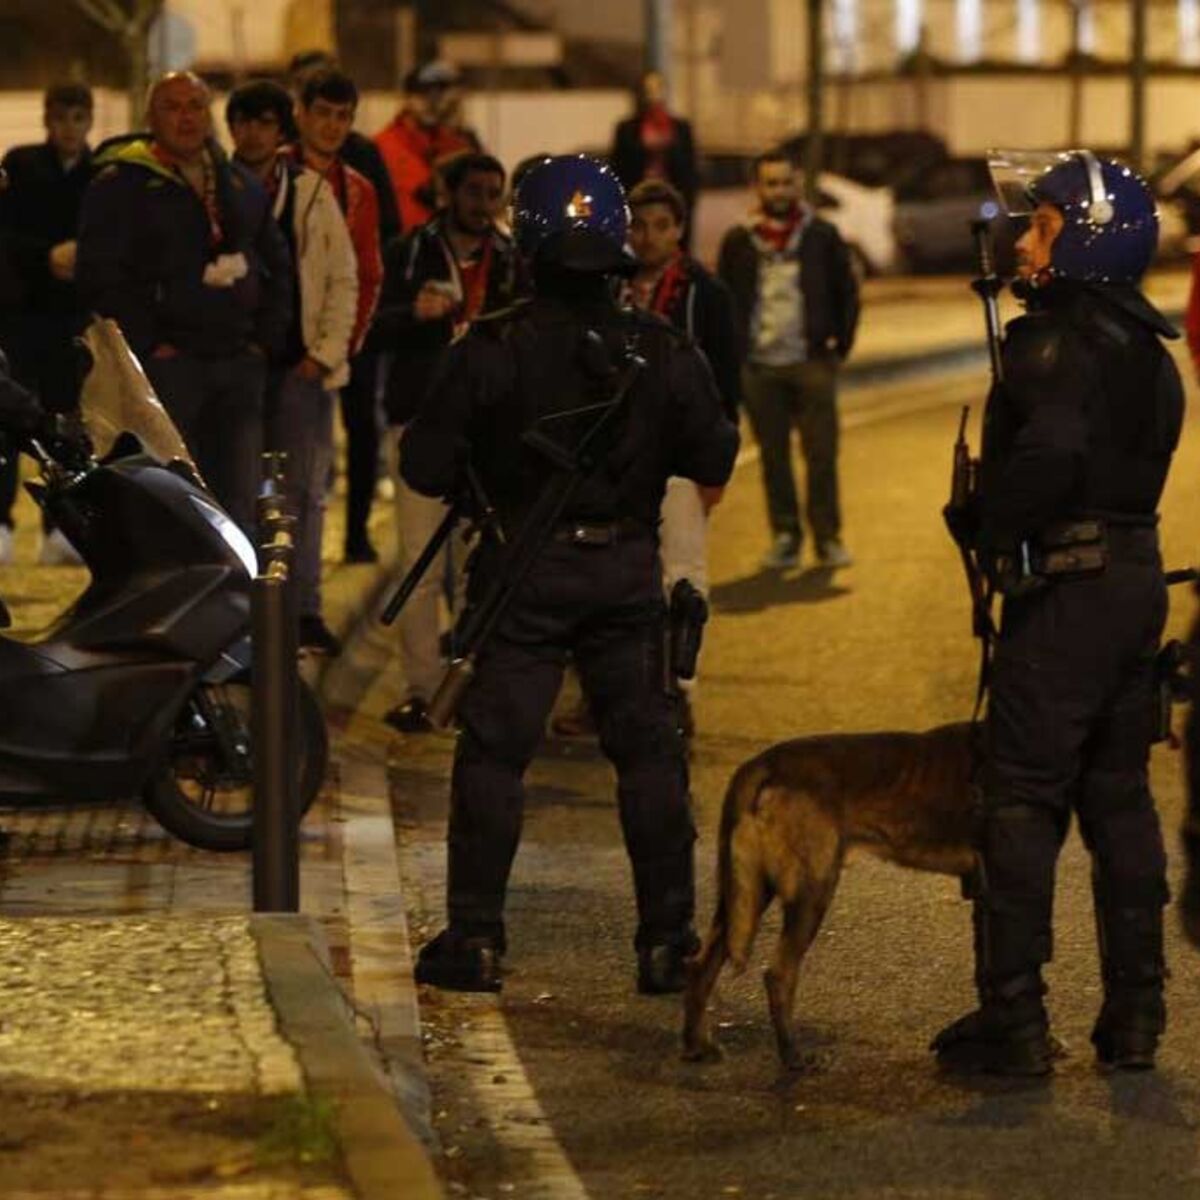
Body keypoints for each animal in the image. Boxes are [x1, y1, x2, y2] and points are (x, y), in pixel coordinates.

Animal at [681, 720, 979, 1070]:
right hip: (812, 891)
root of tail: (762, 764)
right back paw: (792, 1056)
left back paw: (697, 1046)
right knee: (778, 974)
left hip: (745, 894)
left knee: (701, 966)